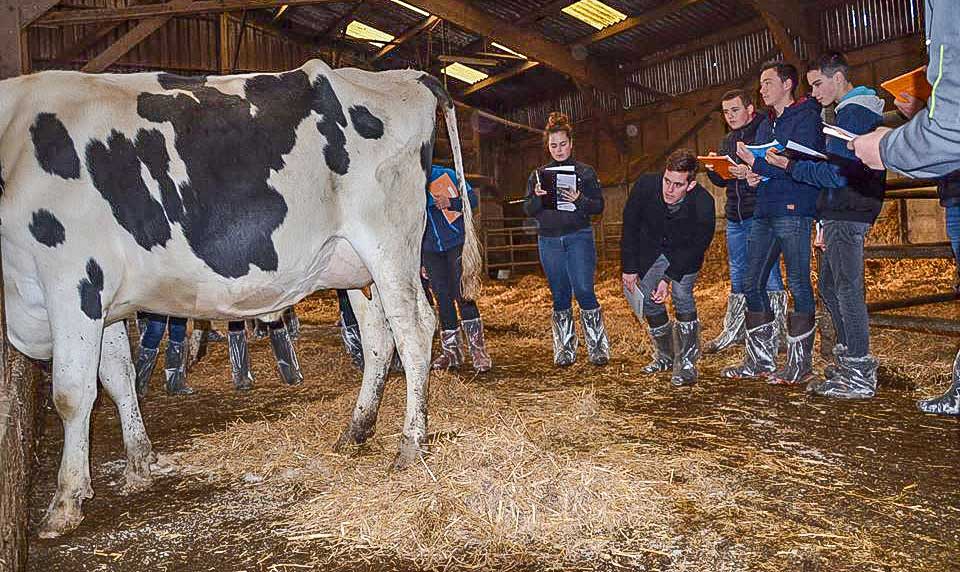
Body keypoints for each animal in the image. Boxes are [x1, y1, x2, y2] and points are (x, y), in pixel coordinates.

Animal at [0, 58, 478, 536]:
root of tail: (406, 75)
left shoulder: (73, 278)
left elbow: (72, 394)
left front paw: (64, 502)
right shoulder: (106, 300)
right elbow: (117, 377)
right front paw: (138, 464)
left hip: (389, 243)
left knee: (414, 329)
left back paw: (410, 445)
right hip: (356, 266)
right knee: (380, 338)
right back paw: (356, 431)